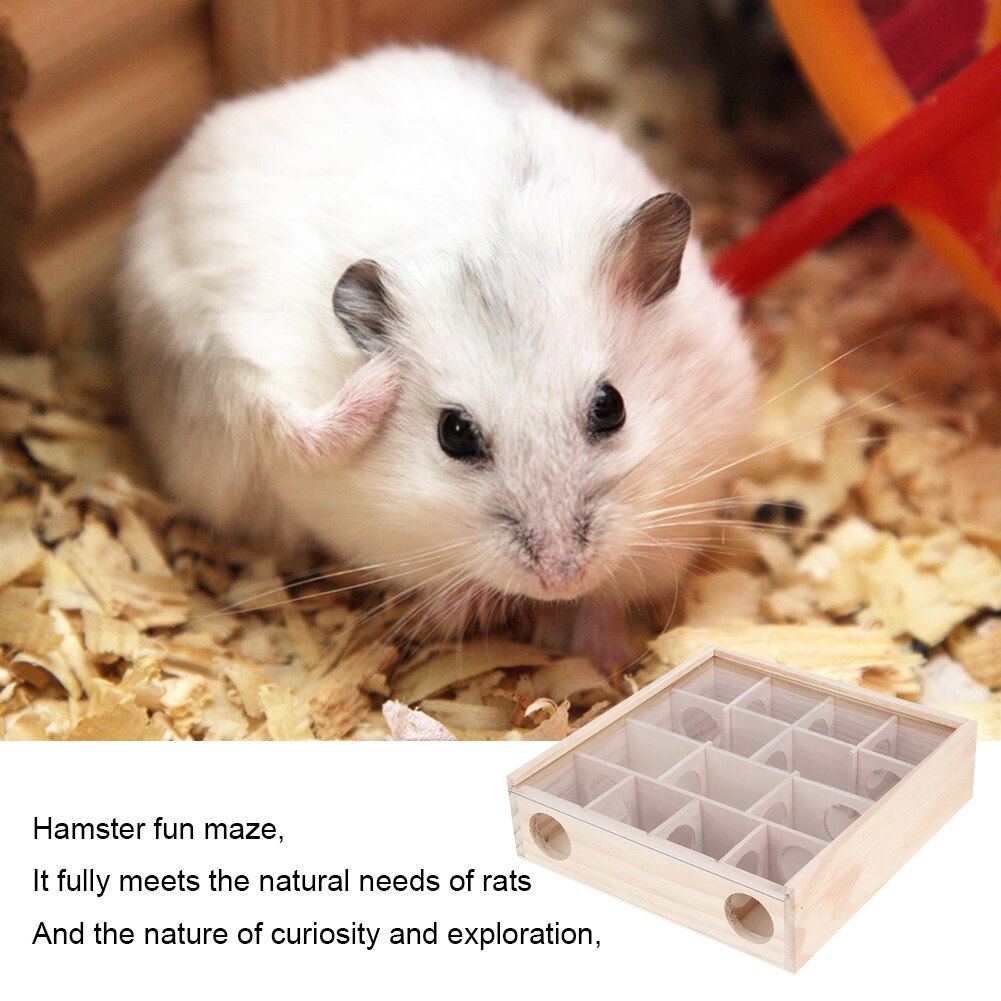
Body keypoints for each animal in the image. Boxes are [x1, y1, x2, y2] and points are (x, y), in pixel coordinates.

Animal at [116, 47, 756, 669]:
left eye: (611, 407)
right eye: (454, 434)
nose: (560, 579)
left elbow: (608, 600)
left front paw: (604, 657)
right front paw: (480, 610)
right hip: (209, 374)